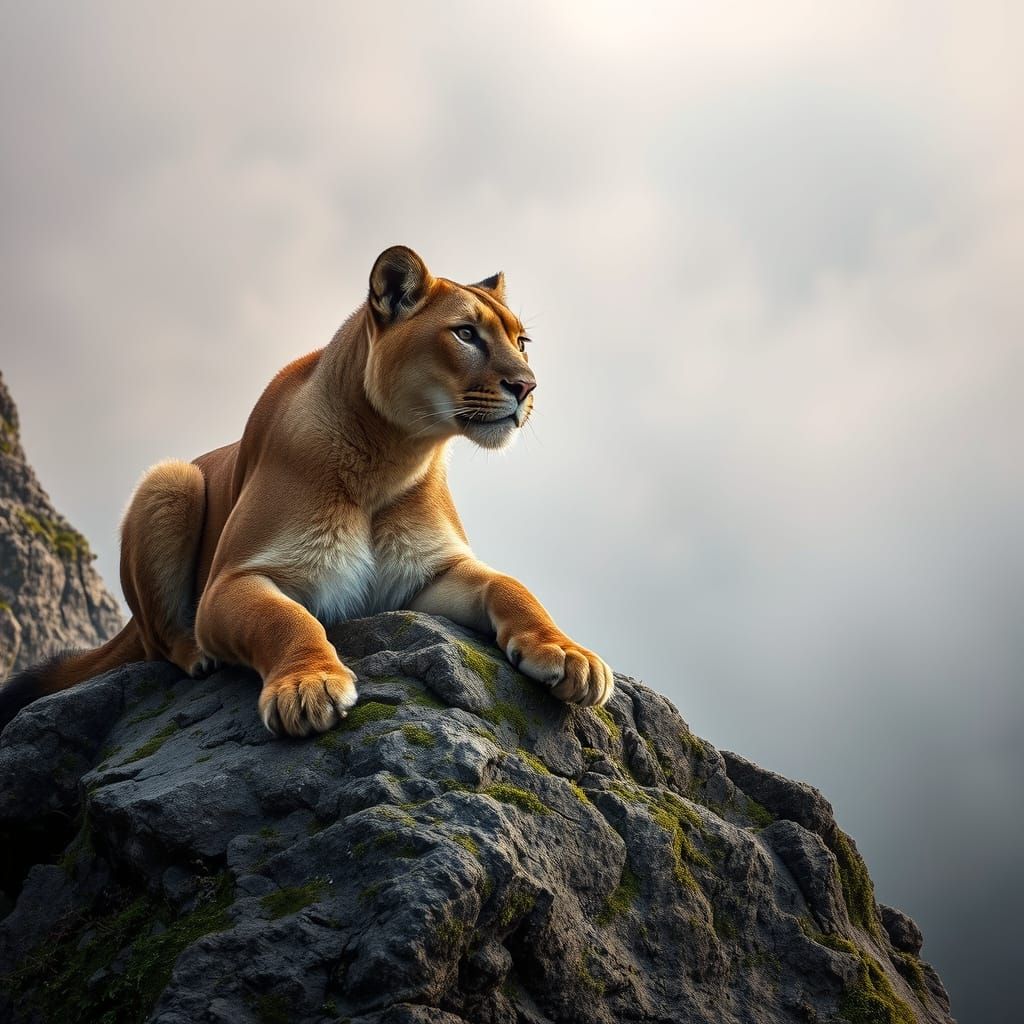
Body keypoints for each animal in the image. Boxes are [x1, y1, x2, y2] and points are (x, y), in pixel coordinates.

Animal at [0, 246, 613, 736]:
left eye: (522, 341)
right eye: (465, 333)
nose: (527, 386)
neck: (392, 456)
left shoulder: (424, 578)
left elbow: (512, 586)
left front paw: (568, 652)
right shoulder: (232, 580)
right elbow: (287, 619)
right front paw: (308, 686)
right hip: (170, 480)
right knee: (156, 640)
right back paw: (197, 655)